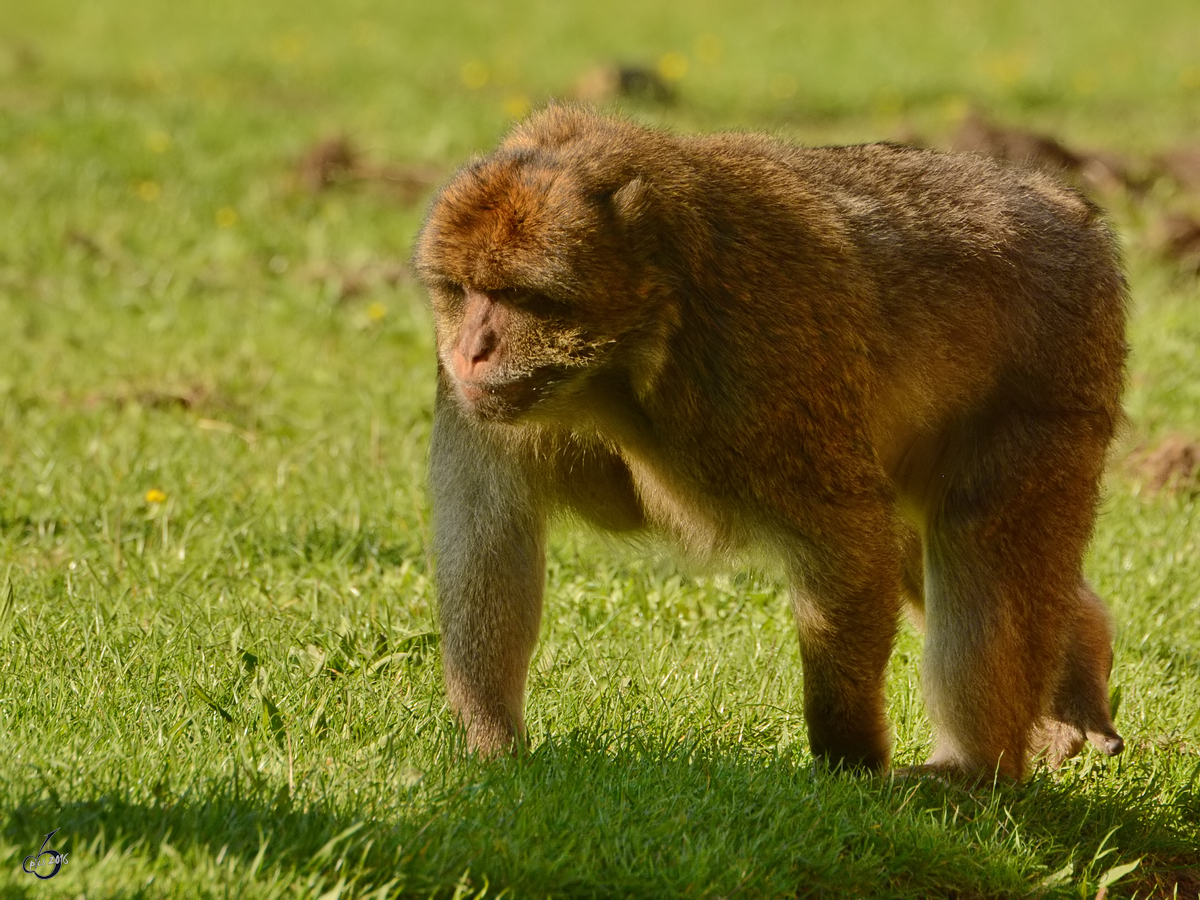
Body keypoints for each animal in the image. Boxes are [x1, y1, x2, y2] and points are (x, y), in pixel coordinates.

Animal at [412, 105, 1123, 782]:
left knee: (975, 529)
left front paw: (848, 755)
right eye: (464, 290)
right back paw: (1076, 675)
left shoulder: (767, 372)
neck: (630, 361)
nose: (470, 350)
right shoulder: (482, 406)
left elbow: (848, 541)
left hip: (1059, 364)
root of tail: (1066, 204)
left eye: (518, 296)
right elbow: (486, 530)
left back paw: (977, 770)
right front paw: (492, 746)